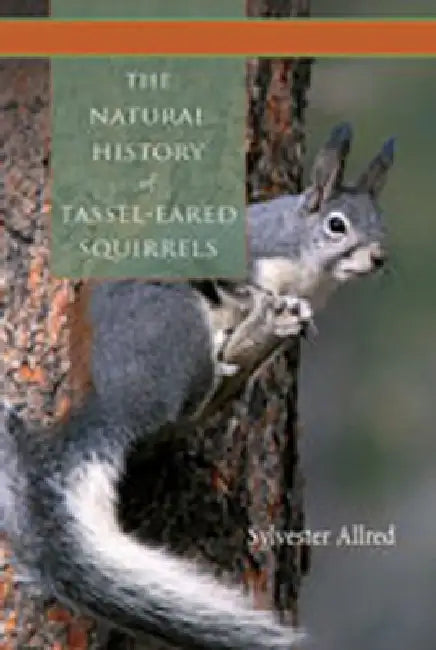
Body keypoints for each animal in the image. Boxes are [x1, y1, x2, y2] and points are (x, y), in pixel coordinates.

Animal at [0, 123, 394, 649]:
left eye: (379, 222)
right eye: (337, 225)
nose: (379, 257)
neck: (308, 265)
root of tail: (114, 404)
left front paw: (303, 321)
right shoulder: (244, 260)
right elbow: (244, 288)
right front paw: (271, 303)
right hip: (179, 329)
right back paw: (220, 371)